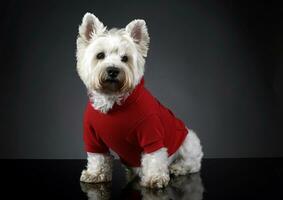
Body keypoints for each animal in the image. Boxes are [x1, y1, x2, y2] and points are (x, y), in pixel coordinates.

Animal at [76, 12, 203, 188]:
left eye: (125, 58)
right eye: (100, 55)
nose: (113, 70)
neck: (113, 101)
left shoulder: (151, 132)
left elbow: (155, 156)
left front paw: (155, 178)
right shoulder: (92, 136)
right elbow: (97, 157)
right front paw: (95, 174)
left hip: (188, 140)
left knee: (192, 163)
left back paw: (177, 167)